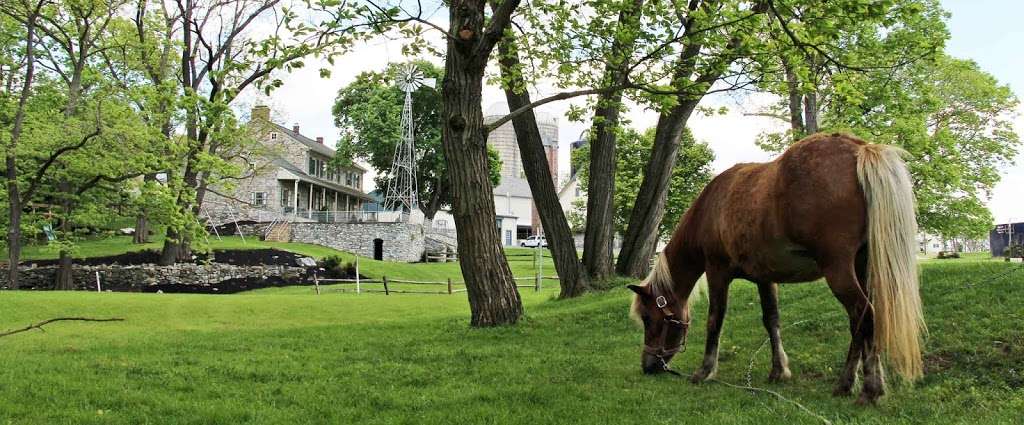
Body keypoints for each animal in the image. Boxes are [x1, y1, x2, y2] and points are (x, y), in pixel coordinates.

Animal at [626, 134, 925, 405]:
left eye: (649, 319)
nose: (648, 366)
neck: (711, 208)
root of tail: (860, 148)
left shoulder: (717, 272)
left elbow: (715, 320)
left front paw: (705, 371)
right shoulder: (765, 279)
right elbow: (771, 320)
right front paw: (779, 370)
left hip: (838, 270)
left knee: (863, 316)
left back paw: (868, 389)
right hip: (862, 268)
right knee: (862, 323)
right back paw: (848, 384)